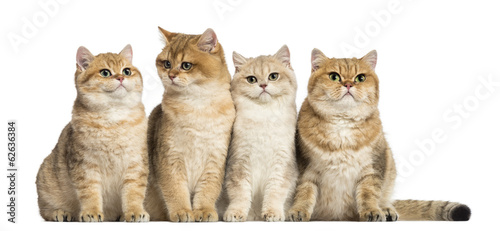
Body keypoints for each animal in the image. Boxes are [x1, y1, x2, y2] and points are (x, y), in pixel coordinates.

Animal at [36, 45, 149, 222]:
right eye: (105, 73)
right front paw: (92, 212)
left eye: (127, 71)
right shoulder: (85, 165)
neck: (114, 117)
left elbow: (134, 192)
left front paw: (135, 212)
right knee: (45, 210)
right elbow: (90, 193)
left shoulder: (136, 162)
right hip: (46, 182)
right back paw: (61, 213)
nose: (120, 78)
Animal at [144, 27, 235, 222]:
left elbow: (208, 189)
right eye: (167, 63)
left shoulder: (215, 159)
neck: (197, 107)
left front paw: (203, 210)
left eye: (186, 65)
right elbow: (175, 189)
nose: (171, 75)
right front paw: (182, 211)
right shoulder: (169, 157)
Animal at [288, 49, 470, 222]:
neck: (343, 124)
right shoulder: (307, 169)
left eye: (360, 78)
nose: (348, 84)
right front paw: (298, 211)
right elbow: (304, 193)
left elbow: (369, 193)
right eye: (334, 76)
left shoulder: (373, 167)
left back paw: (386, 209)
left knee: (384, 199)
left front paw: (372, 211)